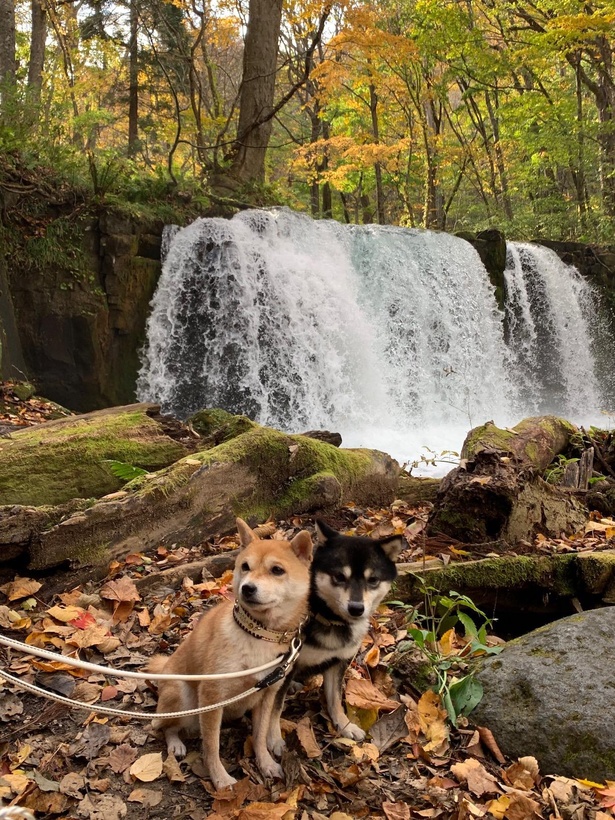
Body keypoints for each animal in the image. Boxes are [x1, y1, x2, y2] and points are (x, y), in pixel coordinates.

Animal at [148, 524, 312, 792]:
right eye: (245, 566)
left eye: (277, 570)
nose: (248, 587)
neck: (258, 634)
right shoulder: (212, 696)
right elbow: (212, 747)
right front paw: (220, 779)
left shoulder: (268, 694)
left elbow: (260, 736)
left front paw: (265, 763)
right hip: (183, 697)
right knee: (165, 726)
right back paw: (175, 743)